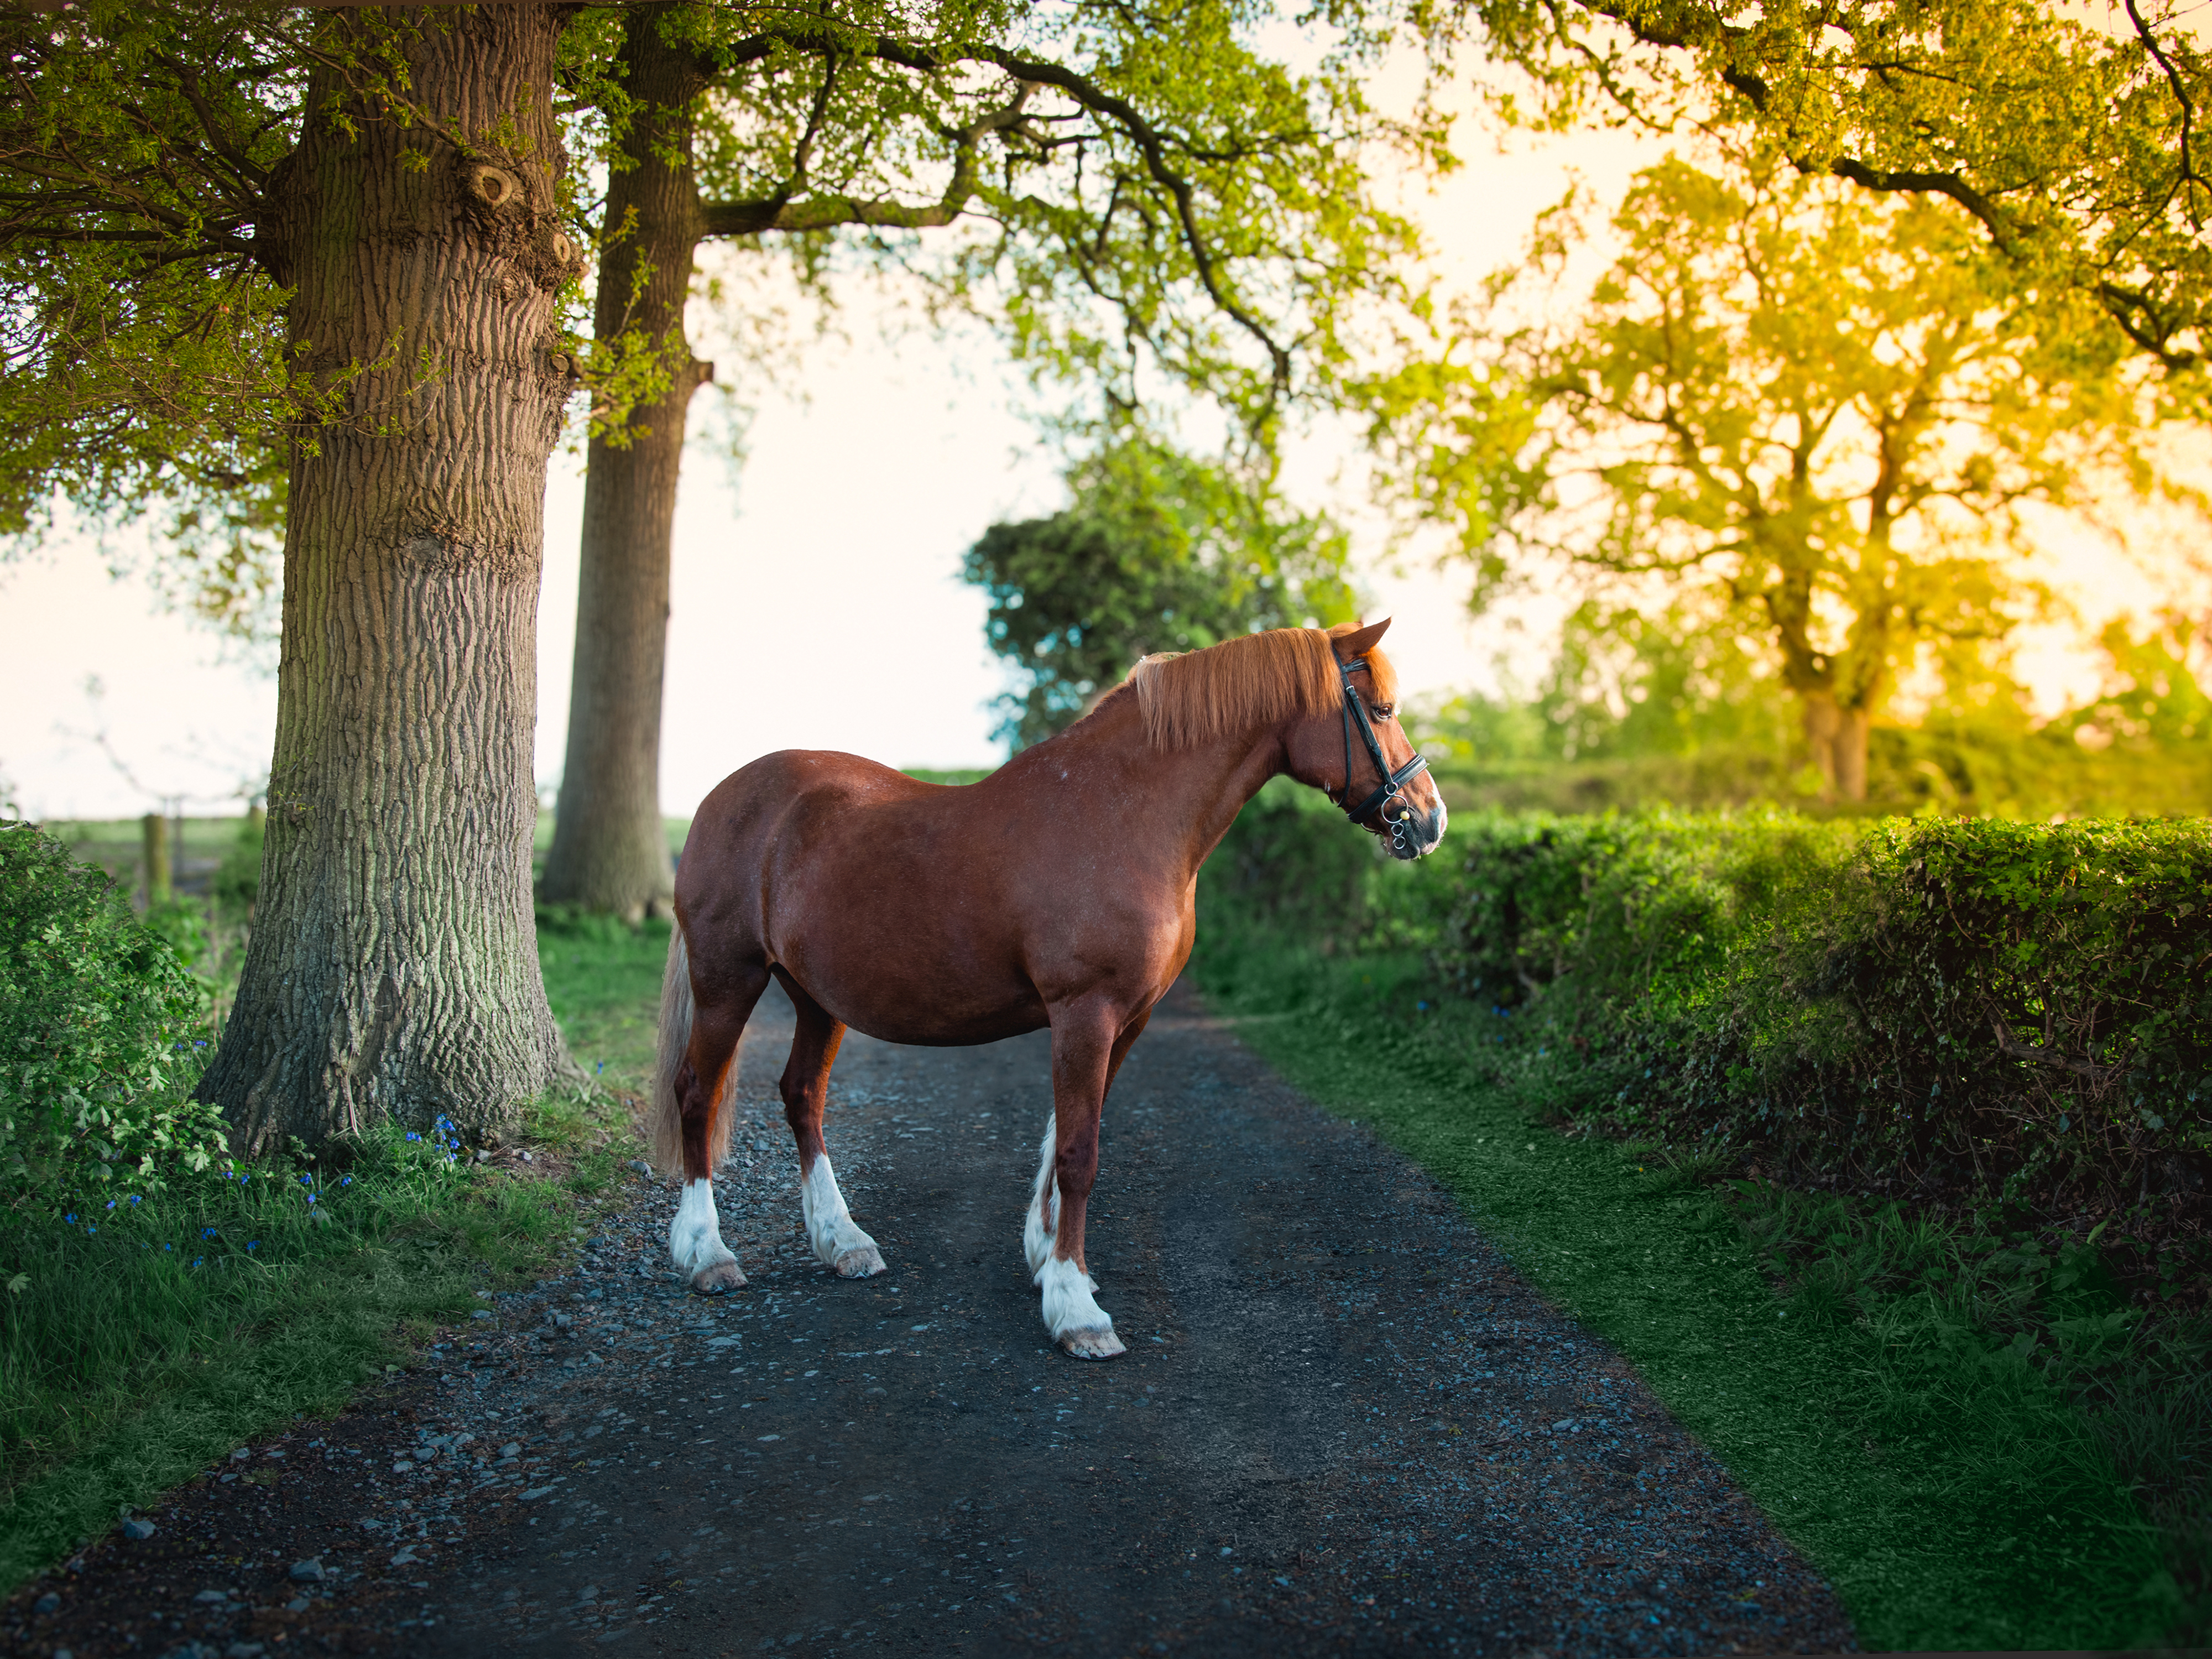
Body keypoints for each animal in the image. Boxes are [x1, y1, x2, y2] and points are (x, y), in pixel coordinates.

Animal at [648, 617, 1447, 1358]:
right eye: (1379, 708)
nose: (1429, 819)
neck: (1122, 811)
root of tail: (719, 799)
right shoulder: (1084, 1012)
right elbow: (1079, 1153)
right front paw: (1075, 1309)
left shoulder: (1129, 1020)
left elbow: (1065, 1137)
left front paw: (1053, 1262)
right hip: (729, 980)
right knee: (697, 1092)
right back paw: (707, 1253)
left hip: (816, 998)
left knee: (802, 1096)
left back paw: (844, 1242)